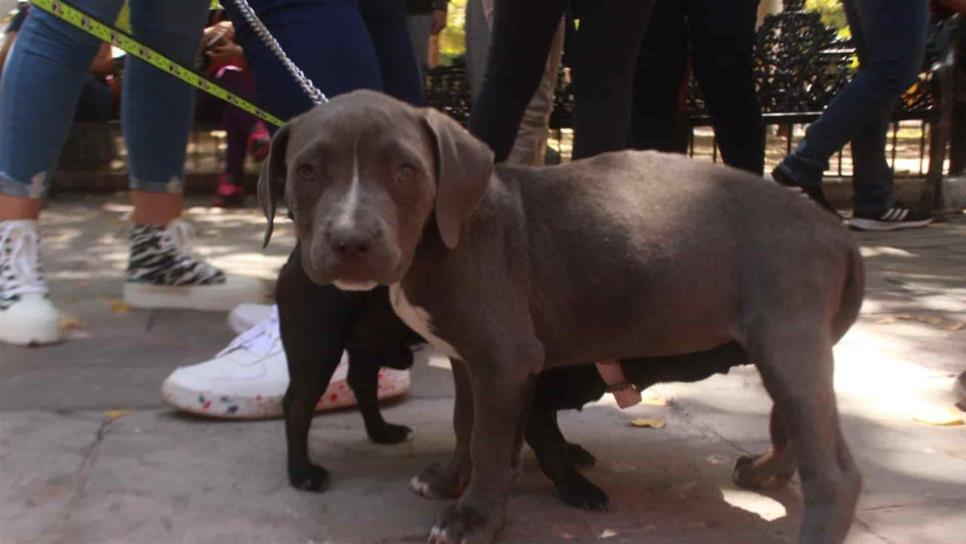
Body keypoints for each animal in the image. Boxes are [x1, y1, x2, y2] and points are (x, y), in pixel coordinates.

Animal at [260, 90, 864, 544]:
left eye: (406, 170)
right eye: (306, 171)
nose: (351, 242)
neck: (441, 239)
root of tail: (835, 232)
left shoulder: (504, 361)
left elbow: (488, 441)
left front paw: (473, 519)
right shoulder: (471, 360)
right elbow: (464, 424)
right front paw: (452, 481)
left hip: (786, 344)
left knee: (834, 473)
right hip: (790, 349)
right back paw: (763, 472)